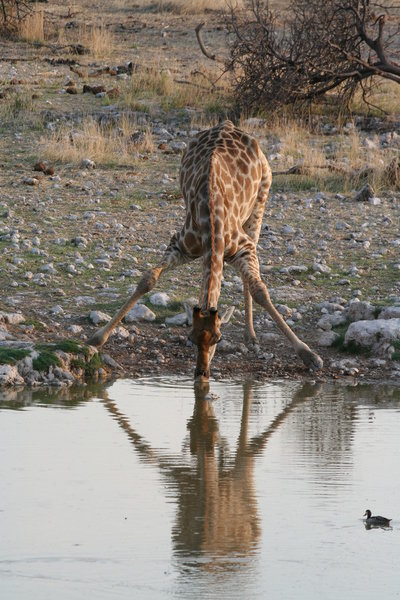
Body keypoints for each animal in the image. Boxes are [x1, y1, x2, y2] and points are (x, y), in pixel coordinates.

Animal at [87, 119, 322, 378]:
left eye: (218, 339)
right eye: (190, 338)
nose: (202, 372)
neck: (212, 219)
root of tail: (227, 123)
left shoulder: (244, 247)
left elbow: (260, 289)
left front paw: (309, 355)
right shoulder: (180, 244)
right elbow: (149, 279)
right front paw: (97, 338)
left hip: (260, 202)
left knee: (249, 272)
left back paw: (251, 336)